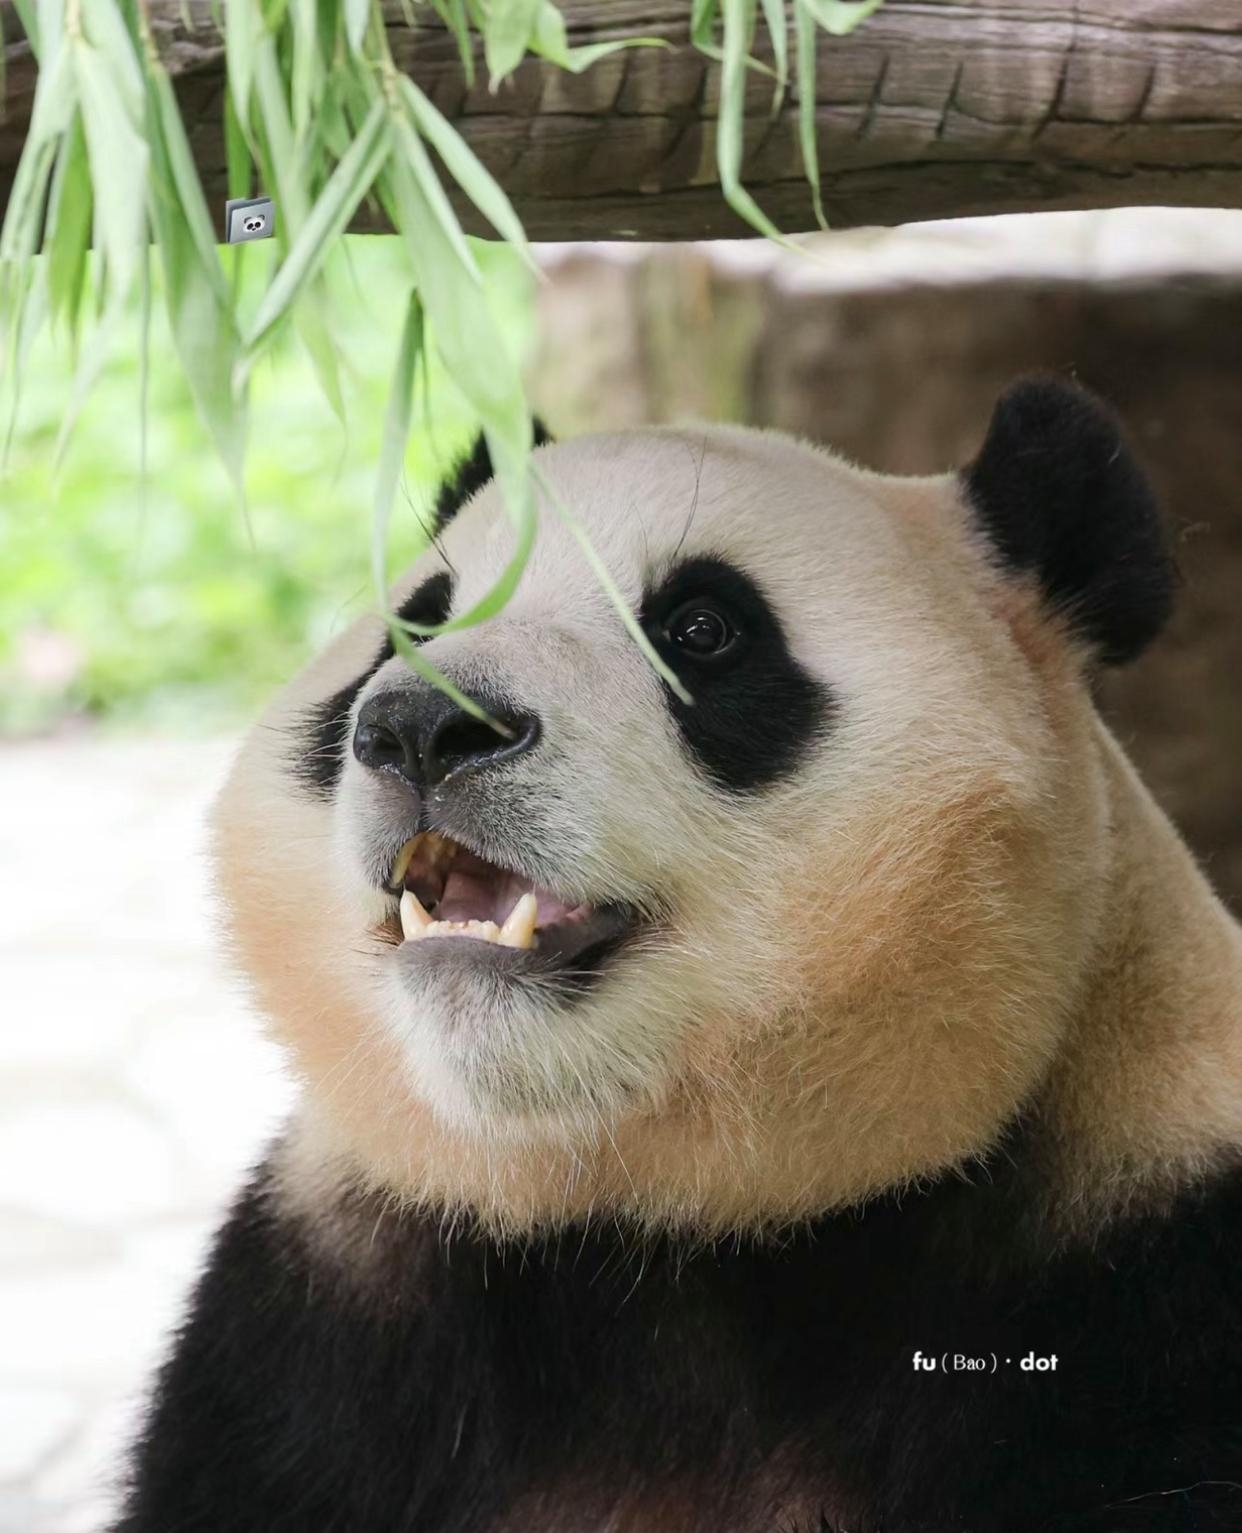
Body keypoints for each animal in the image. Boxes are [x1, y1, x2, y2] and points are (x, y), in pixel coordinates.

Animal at [113, 374, 1238, 1533]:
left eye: (702, 628)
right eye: (416, 624)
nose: (426, 724)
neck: (647, 1222)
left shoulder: (1142, 1286)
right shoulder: (327, 1319)